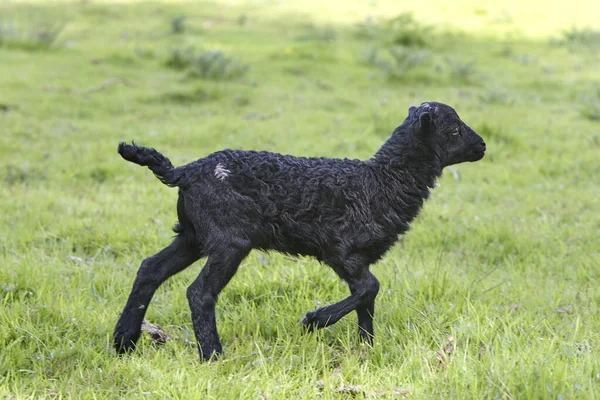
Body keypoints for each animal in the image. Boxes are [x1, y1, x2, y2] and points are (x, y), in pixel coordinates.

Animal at [112, 101, 488, 360]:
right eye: (454, 131)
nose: (483, 146)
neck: (382, 181)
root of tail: (184, 172)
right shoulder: (342, 251)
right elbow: (371, 288)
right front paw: (314, 321)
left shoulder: (360, 258)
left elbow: (367, 299)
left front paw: (366, 348)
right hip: (229, 239)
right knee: (199, 292)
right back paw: (212, 355)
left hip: (194, 235)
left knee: (150, 269)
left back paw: (123, 342)